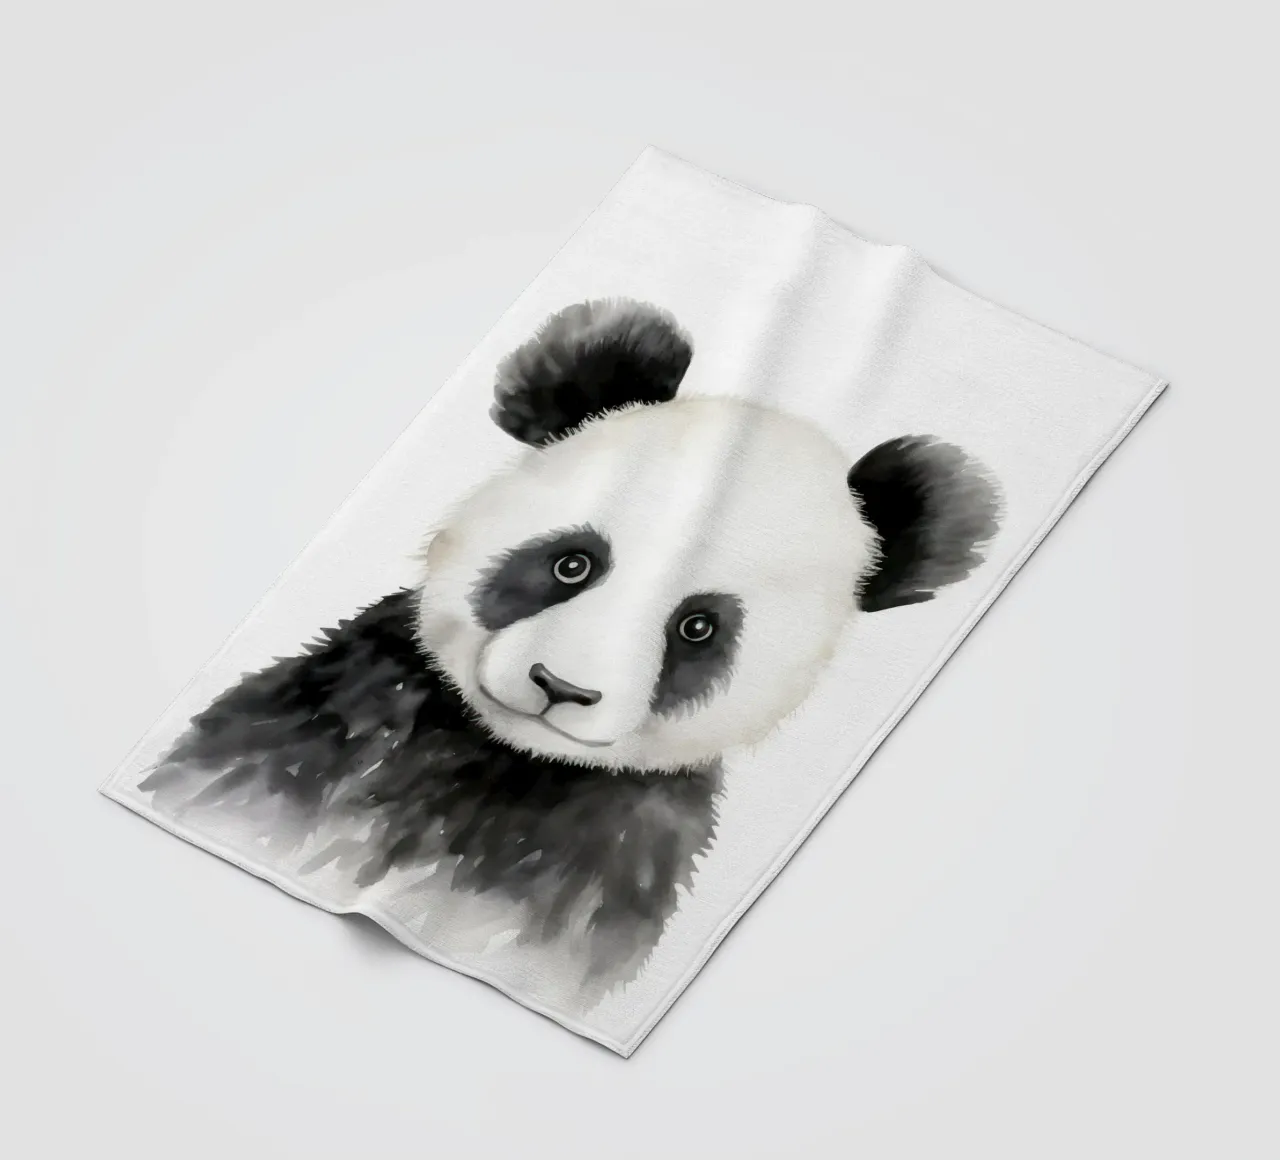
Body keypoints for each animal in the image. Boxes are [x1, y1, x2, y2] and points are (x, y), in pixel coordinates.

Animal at [142, 299, 1001, 994]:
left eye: (698, 628)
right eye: (572, 563)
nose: (561, 687)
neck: (499, 759)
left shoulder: (608, 859)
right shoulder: (332, 721)